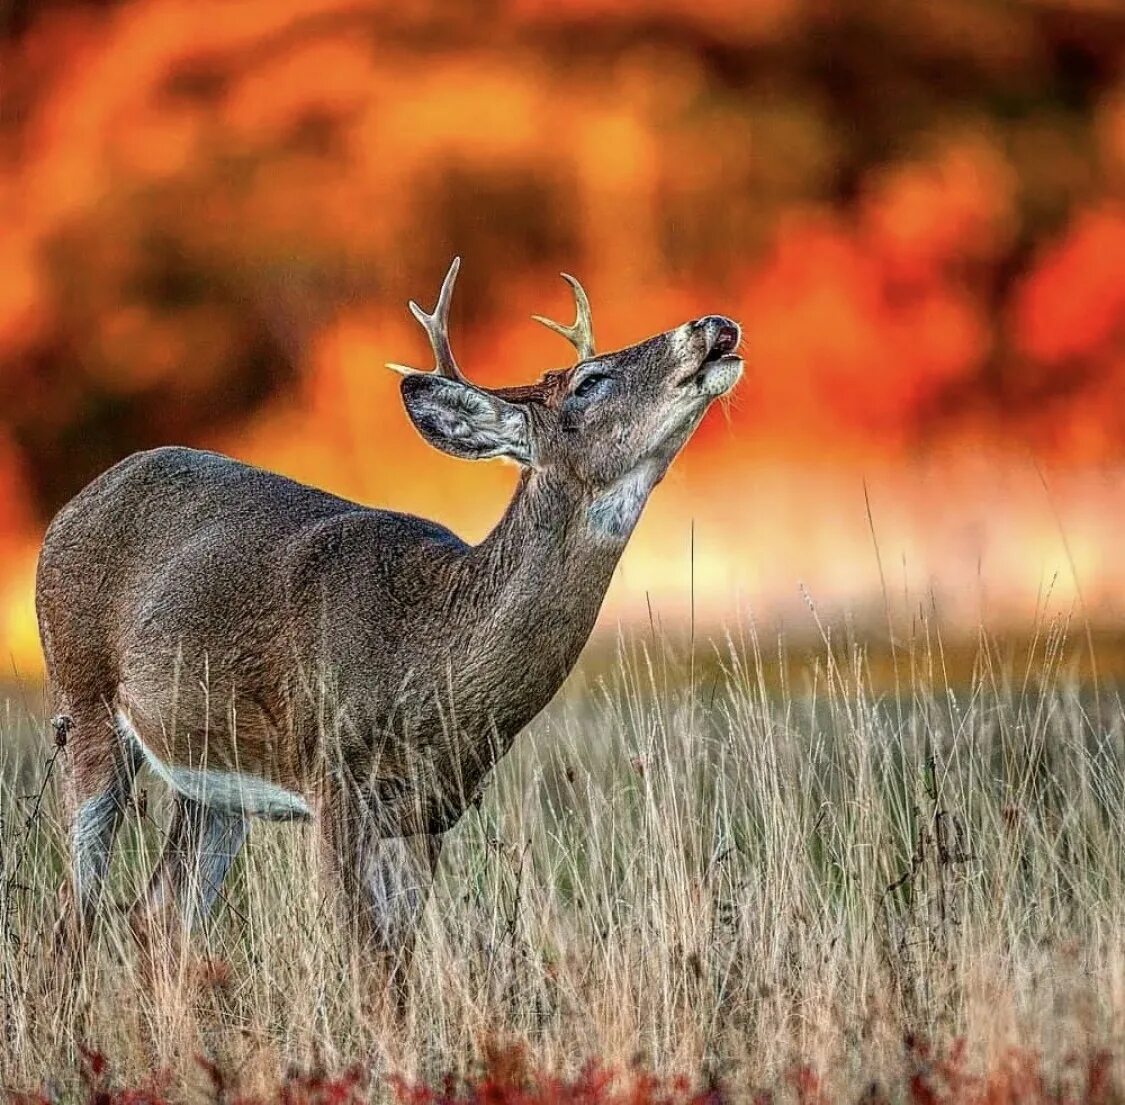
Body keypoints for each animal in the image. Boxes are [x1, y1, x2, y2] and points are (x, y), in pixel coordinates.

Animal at [35, 262, 742, 1003]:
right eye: (588, 381)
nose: (714, 325)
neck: (431, 655)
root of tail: (73, 505)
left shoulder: (433, 811)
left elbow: (396, 970)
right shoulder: (332, 775)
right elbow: (367, 964)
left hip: (213, 777)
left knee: (159, 913)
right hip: (82, 700)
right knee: (74, 913)